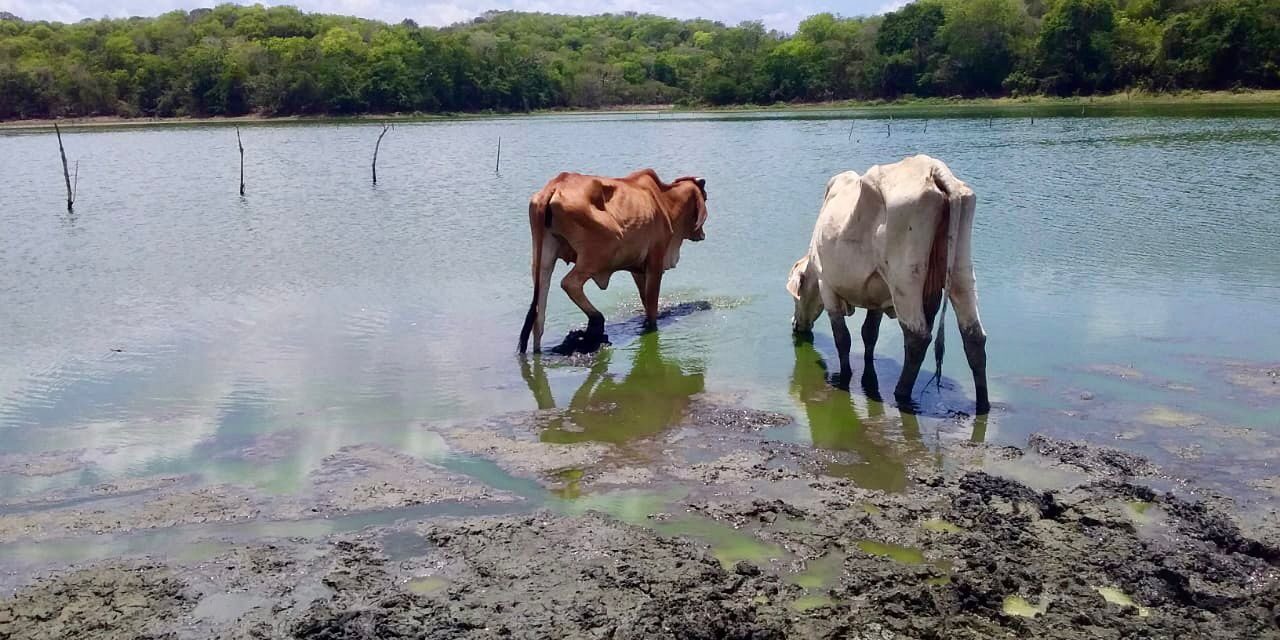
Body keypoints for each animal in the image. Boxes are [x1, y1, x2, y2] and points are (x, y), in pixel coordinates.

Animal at [514, 168, 711, 355]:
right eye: (706, 197)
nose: (702, 234)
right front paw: (652, 326)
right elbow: (652, 305)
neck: (665, 201)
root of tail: (555, 186)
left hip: (543, 258)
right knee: (570, 283)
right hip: (599, 254)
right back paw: (596, 321)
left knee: (539, 315)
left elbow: (645, 300)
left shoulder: (638, 269)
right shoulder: (655, 261)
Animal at [788, 155, 988, 414]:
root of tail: (933, 168)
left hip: (904, 279)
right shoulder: (876, 294)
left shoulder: (827, 285)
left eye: (796, 296)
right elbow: (868, 333)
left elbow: (843, 338)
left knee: (917, 337)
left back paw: (901, 393)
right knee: (974, 336)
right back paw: (983, 404)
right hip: (961, 270)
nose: (795, 324)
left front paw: (845, 376)